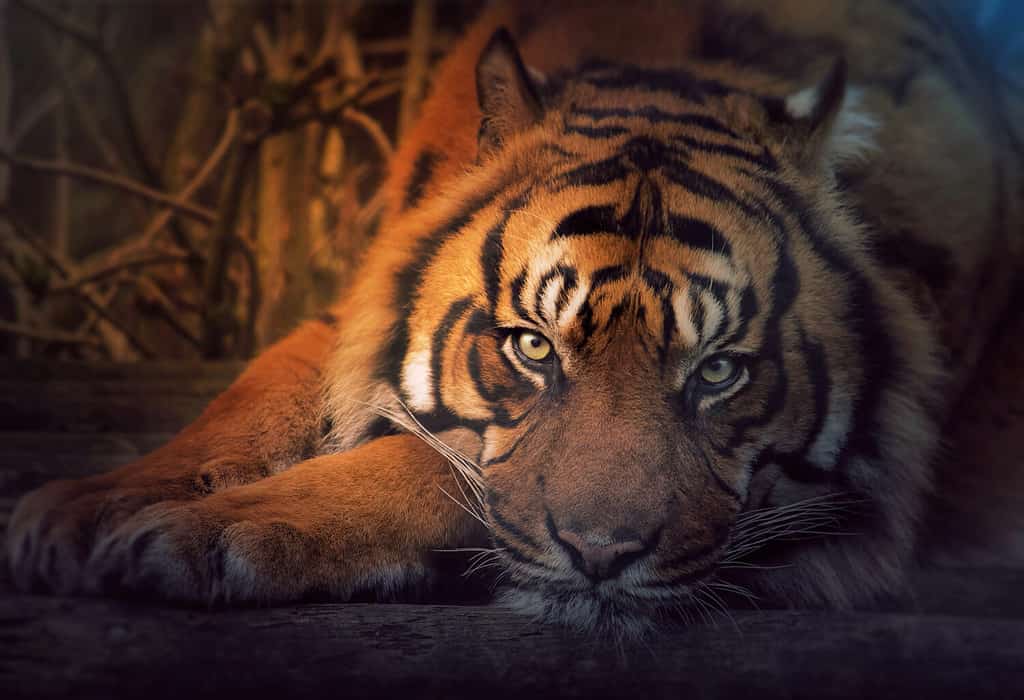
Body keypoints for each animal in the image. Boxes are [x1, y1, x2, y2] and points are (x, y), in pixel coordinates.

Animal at [8, 0, 1024, 634]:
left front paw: (195, 533)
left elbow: (428, 462)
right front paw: (86, 508)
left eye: (719, 371)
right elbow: (253, 397)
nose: (603, 558)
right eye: (532, 348)